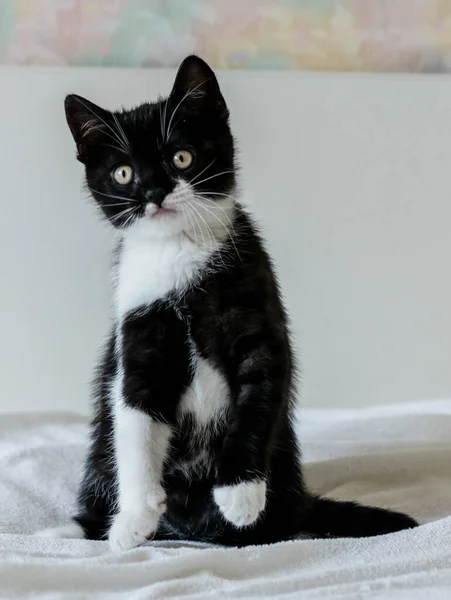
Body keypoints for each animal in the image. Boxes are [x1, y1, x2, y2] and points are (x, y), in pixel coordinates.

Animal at [41, 54, 416, 552]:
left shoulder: (259, 323)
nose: (155, 193)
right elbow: (136, 421)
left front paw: (240, 494)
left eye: (181, 157)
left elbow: (258, 400)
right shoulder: (137, 336)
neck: (178, 252)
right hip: (99, 455)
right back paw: (84, 529)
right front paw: (134, 518)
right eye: (123, 173)